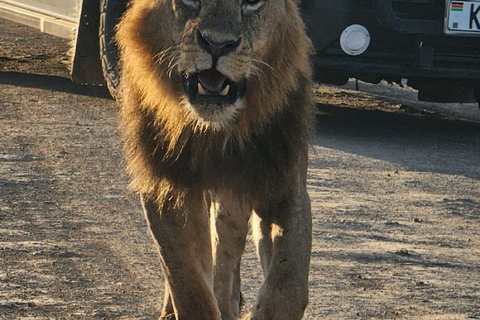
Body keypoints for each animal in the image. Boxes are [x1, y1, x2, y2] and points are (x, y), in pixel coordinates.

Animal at [116, 0, 316, 318]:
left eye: (252, 3)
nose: (217, 45)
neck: (214, 132)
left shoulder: (284, 187)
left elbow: (288, 288)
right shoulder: (166, 187)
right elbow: (187, 282)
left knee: (226, 254)